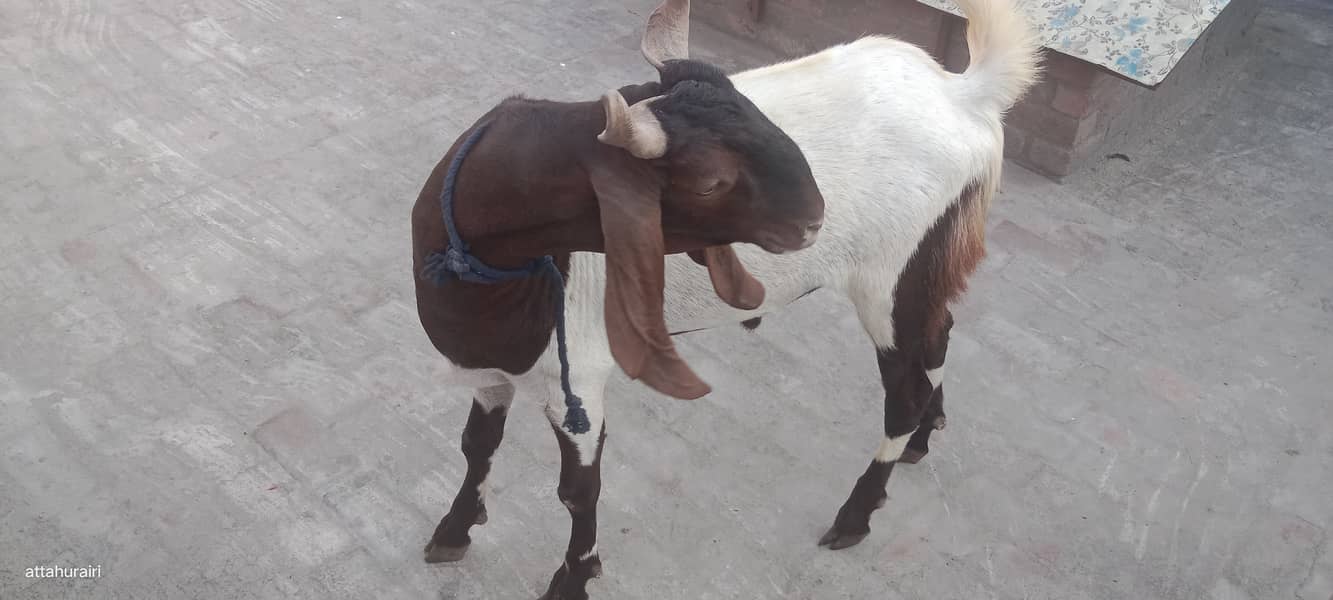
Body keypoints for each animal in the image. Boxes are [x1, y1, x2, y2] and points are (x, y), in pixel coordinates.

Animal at [410, 0, 1040, 597]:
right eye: (710, 180)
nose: (813, 219)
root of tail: (961, 92)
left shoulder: (578, 381)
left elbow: (578, 492)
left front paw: (572, 579)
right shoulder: (491, 370)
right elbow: (477, 445)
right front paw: (454, 530)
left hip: (888, 273)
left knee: (905, 389)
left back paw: (856, 515)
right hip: (925, 265)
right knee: (937, 334)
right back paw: (923, 437)